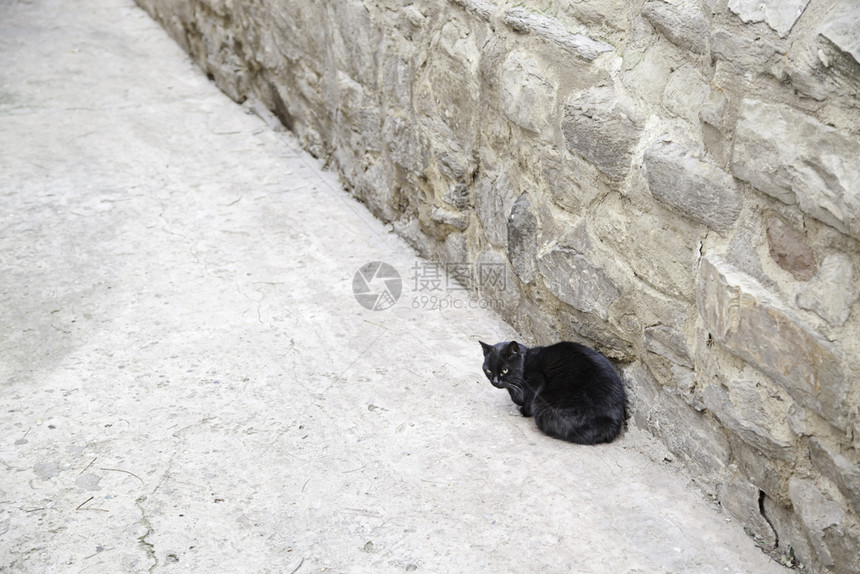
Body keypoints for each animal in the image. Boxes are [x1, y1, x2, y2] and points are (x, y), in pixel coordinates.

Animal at [478, 342, 624, 446]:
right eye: (489, 370)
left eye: (505, 370)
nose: (495, 381)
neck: (525, 363)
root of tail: (611, 423)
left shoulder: (537, 381)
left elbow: (527, 400)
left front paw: (523, 410)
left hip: (543, 408)